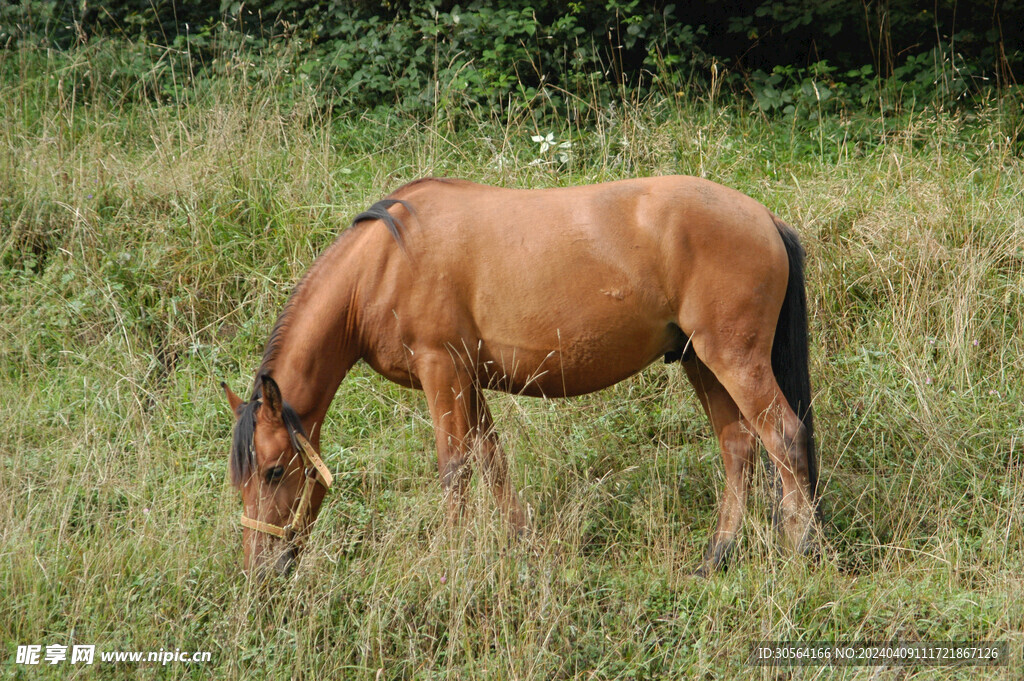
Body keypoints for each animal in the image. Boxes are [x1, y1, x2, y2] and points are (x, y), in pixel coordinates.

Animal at [222, 174, 815, 573]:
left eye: (273, 471)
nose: (261, 570)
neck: (383, 264)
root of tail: (764, 218)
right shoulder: (467, 380)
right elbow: (493, 463)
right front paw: (522, 545)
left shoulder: (441, 371)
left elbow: (456, 468)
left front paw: (451, 560)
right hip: (701, 362)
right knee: (738, 446)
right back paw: (718, 554)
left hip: (733, 360)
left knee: (783, 437)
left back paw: (801, 547)